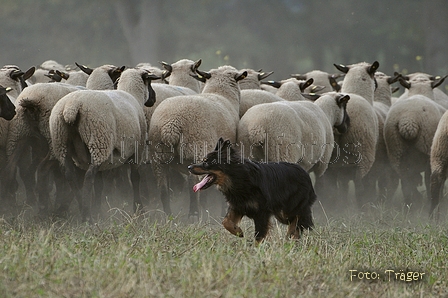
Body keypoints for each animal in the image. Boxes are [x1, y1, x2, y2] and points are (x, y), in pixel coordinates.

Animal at [49, 68, 159, 221]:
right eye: (150, 83)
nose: (154, 98)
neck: (133, 95)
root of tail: (71, 108)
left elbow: (100, 186)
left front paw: (98, 209)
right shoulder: (138, 150)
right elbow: (135, 179)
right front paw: (139, 210)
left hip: (62, 142)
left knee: (70, 175)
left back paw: (82, 207)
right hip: (99, 141)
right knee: (89, 177)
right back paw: (86, 216)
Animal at [148, 65, 247, 215]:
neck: (220, 94)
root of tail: (171, 125)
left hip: (158, 157)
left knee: (163, 189)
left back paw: (168, 216)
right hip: (196, 150)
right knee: (196, 186)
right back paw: (197, 214)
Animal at [187, 137, 316, 242]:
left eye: (206, 162)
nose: (188, 167)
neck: (238, 177)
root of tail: (305, 174)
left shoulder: (261, 212)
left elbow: (259, 235)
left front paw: (256, 249)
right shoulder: (237, 206)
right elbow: (226, 222)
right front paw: (238, 231)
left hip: (289, 208)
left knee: (297, 220)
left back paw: (292, 237)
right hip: (281, 212)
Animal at [384, 74, 446, 207]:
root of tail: (409, 119)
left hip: (396, 153)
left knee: (405, 182)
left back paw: (411, 204)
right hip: (427, 149)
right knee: (428, 180)